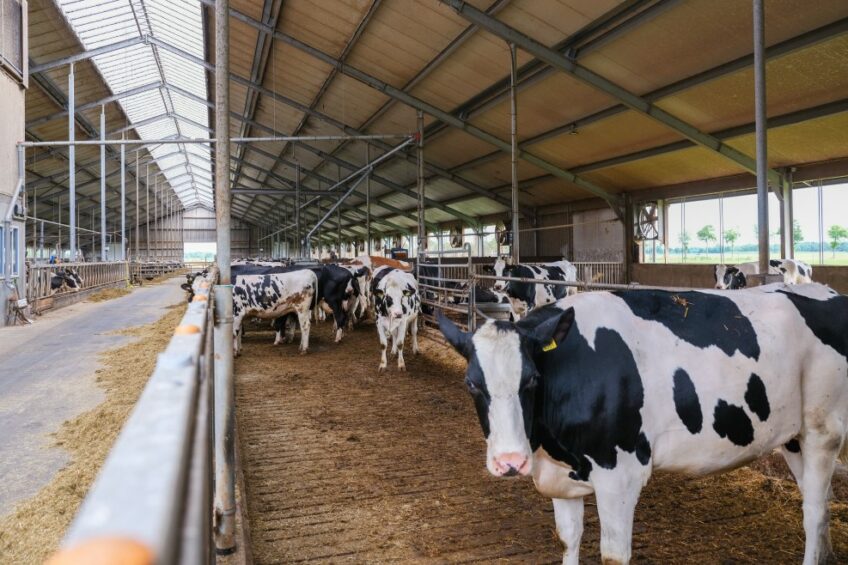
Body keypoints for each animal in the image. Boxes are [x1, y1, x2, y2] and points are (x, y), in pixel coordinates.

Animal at [438, 284, 848, 564]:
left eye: (532, 380)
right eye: (471, 383)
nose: (509, 462)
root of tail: (827, 291)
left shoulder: (620, 473)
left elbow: (613, 555)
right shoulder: (560, 476)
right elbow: (567, 539)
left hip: (823, 429)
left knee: (815, 512)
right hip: (793, 437)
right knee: (819, 504)